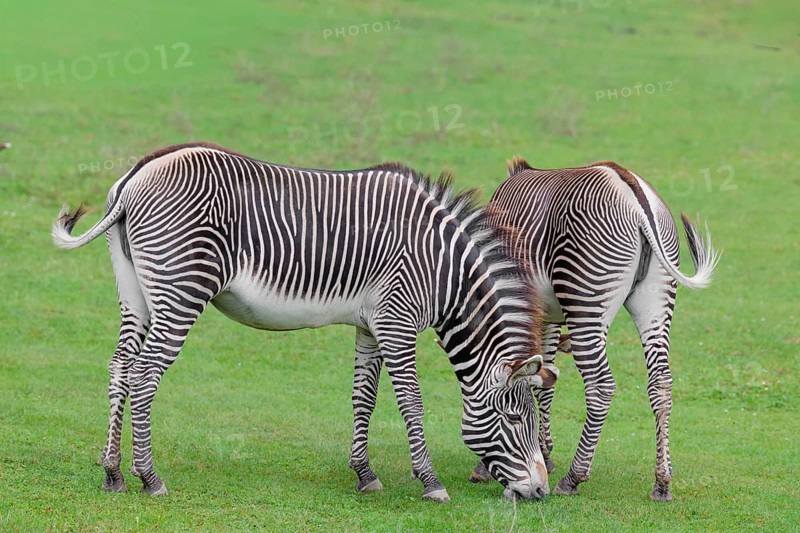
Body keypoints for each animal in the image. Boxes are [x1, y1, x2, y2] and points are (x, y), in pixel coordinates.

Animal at [51, 143, 557, 502]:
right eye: (514, 416)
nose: (540, 491)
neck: (443, 268)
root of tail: (135, 176)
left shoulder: (370, 325)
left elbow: (363, 399)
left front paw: (365, 474)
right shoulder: (397, 320)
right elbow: (411, 403)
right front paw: (431, 482)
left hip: (136, 294)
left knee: (120, 368)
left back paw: (113, 473)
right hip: (180, 292)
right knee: (144, 374)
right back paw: (150, 477)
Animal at [468, 158, 719, 501]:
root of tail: (631, 190)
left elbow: (529, 379)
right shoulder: (548, 319)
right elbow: (544, 381)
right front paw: (544, 453)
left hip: (585, 301)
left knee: (601, 386)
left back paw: (574, 478)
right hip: (656, 301)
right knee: (661, 384)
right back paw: (662, 482)